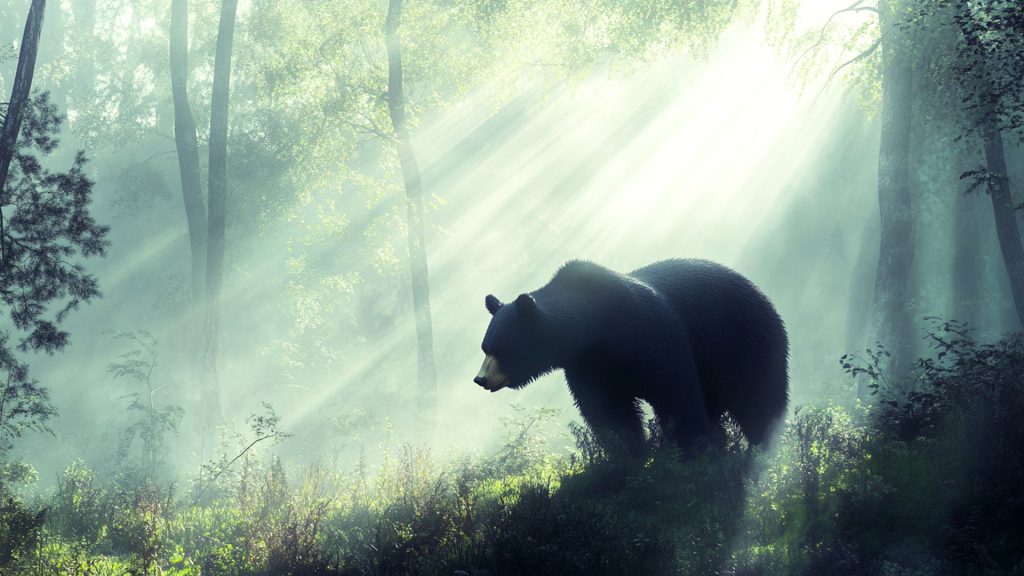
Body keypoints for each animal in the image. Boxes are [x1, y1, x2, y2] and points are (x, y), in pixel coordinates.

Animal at [474, 259, 789, 451]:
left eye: (501, 349)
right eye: (485, 347)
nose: (481, 379)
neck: (595, 329)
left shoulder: (648, 334)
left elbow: (675, 391)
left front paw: (687, 446)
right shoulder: (586, 365)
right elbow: (608, 410)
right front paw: (626, 450)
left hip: (742, 340)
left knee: (758, 398)